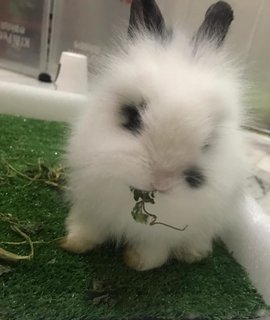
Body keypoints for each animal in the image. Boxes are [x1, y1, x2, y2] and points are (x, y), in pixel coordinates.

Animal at [61, 0, 247, 272]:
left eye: (208, 141)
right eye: (133, 117)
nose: (161, 181)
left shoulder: (161, 234)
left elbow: (153, 251)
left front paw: (136, 262)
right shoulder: (90, 203)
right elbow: (88, 227)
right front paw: (74, 243)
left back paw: (192, 254)